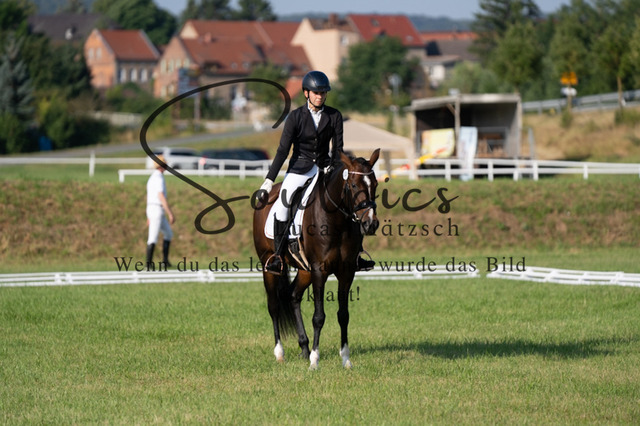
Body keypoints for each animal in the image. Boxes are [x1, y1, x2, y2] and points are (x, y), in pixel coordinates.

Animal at [253, 149, 380, 369]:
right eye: (354, 185)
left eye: (376, 184)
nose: (370, 224)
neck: (337, 221)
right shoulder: (320, 271)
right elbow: (319, 317)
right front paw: (315, 360)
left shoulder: (346, 272)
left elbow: (343, 315)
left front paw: (345, 359)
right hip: (268, 265)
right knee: (274, 306)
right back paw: (280, 353)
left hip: (305, 270)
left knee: (293, 296)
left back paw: (304, 347)